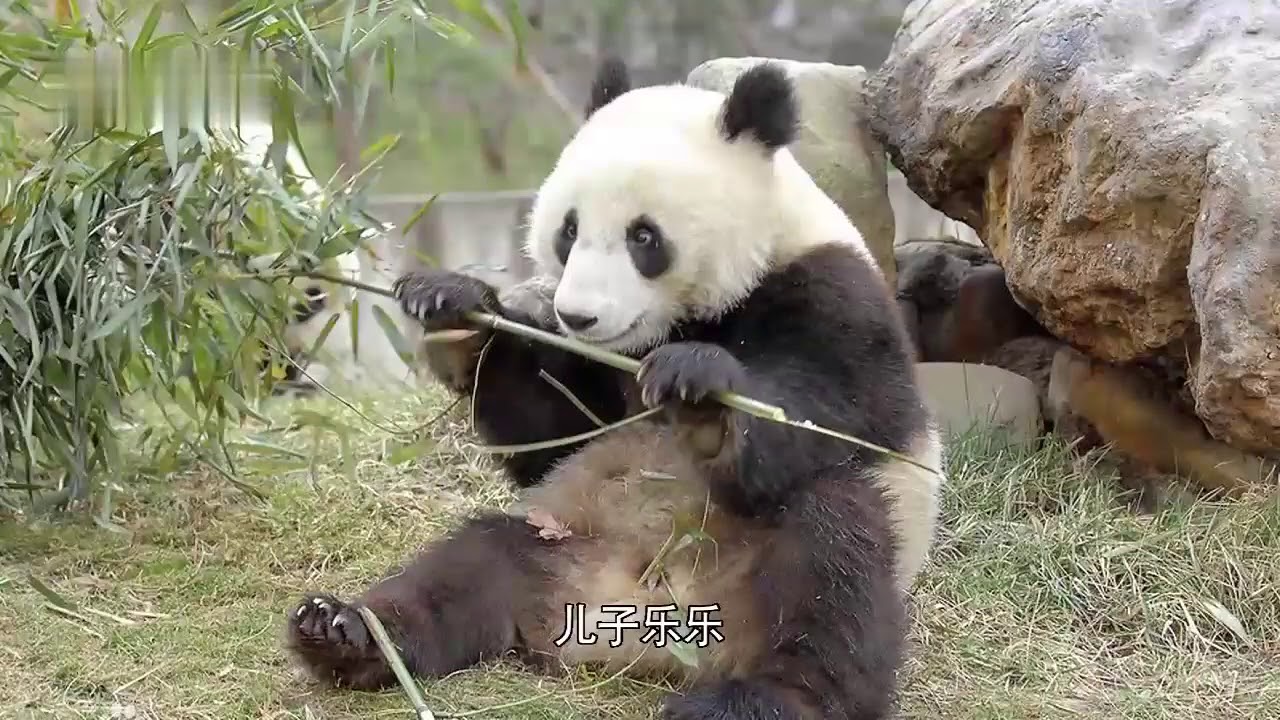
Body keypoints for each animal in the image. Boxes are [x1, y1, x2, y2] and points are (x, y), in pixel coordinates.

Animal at [285, 58, 945, 720]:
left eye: (643, 237)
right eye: (568, 230)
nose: (577, 316)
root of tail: (648, 635)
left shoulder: (838, 296)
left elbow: (830, 410)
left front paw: (700, 393)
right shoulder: (597, 373)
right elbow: (551, 436)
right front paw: (455, 312)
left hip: (802, 559)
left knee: (833, 563)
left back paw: (755, 698)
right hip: (558, 543)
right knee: (466, 567)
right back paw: (342, 633)